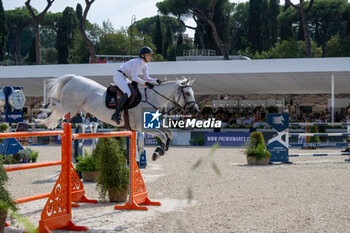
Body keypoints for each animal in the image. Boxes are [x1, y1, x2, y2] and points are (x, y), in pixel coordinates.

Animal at [42, 74, 198, 160]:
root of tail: (73, 78)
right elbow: (164, 136)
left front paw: (163, 150)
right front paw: (158, 152)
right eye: (187, 94)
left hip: (72, 108)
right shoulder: (142, 127)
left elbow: (169, 133)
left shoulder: (151, 125)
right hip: (70, 107)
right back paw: (46, 113)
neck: (152, 99)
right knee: (56, 105)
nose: (195, 110)